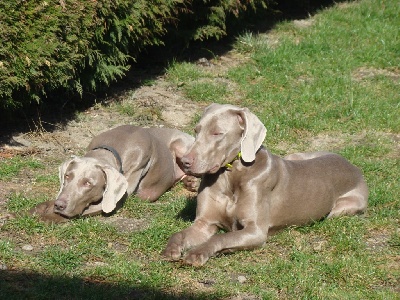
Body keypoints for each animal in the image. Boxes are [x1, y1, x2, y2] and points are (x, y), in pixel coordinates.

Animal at [30, 125, 199, 223]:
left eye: (88, 183)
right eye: (67, 176)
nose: (59, 205)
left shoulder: (119, 197)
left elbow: (95, 207)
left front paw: (49, 216)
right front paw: (41, 207)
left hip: (182, 146)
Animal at [162, 104, 368, 266]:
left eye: (217, 133)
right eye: (196, 130)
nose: (184, 162)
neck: (232, 174)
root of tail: (352, 166)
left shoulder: (255, 231)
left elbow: (221, 237)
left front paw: (197, 253)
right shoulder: (204, 223)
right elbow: (179, 234)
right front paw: (171, 249)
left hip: (342, 209)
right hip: (295, 156)